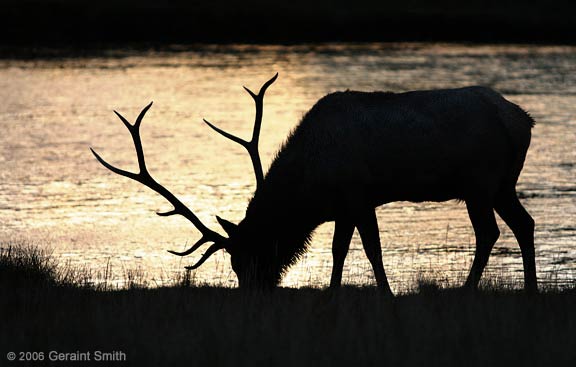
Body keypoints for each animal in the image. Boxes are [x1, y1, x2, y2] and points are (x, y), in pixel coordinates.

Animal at [90, 73, 536, 294]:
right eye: (236, 264)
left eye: (247, 257)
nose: (253, 296)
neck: (312, 188)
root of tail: (523, 121)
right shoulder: (344, 206)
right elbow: (340, 252)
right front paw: (331, 297)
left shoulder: (360, 195)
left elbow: (372, 251)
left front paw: (387, 296)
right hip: (503, 185)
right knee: (524, 224)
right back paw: (530, 290)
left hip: (480, 182)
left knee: (489, 232)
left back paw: (467, 292)